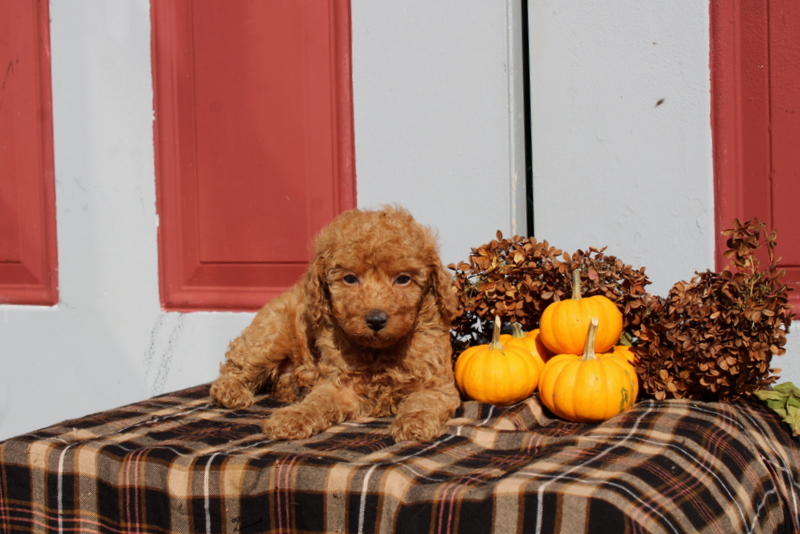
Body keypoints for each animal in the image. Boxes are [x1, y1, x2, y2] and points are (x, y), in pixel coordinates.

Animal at [211, 205, 462, 444]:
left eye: (403, 279)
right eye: (350, 279)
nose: (376, 319)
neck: (379, 351)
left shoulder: (437, 383)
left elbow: (425, 401)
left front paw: (415, 422)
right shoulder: (339, 383)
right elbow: (318, 401)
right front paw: (293, 417)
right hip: (270, 339)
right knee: (236, 367)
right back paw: (231, 392)